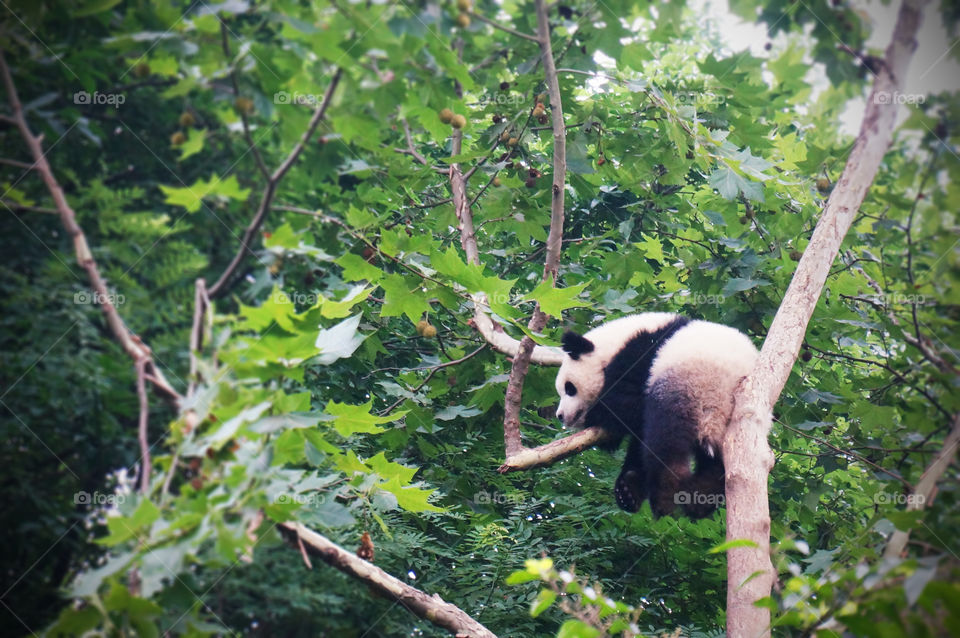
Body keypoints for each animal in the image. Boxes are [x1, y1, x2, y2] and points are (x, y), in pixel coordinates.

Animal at [556, 316, 756, 520]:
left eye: (569, 388)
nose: (560, 416)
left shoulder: (641, 356)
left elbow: (623, 407)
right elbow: (636, 440)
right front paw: (627, 491)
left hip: (687, 386)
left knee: (664, 444)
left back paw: (665, 500)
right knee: (714, 467)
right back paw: (699, 499)